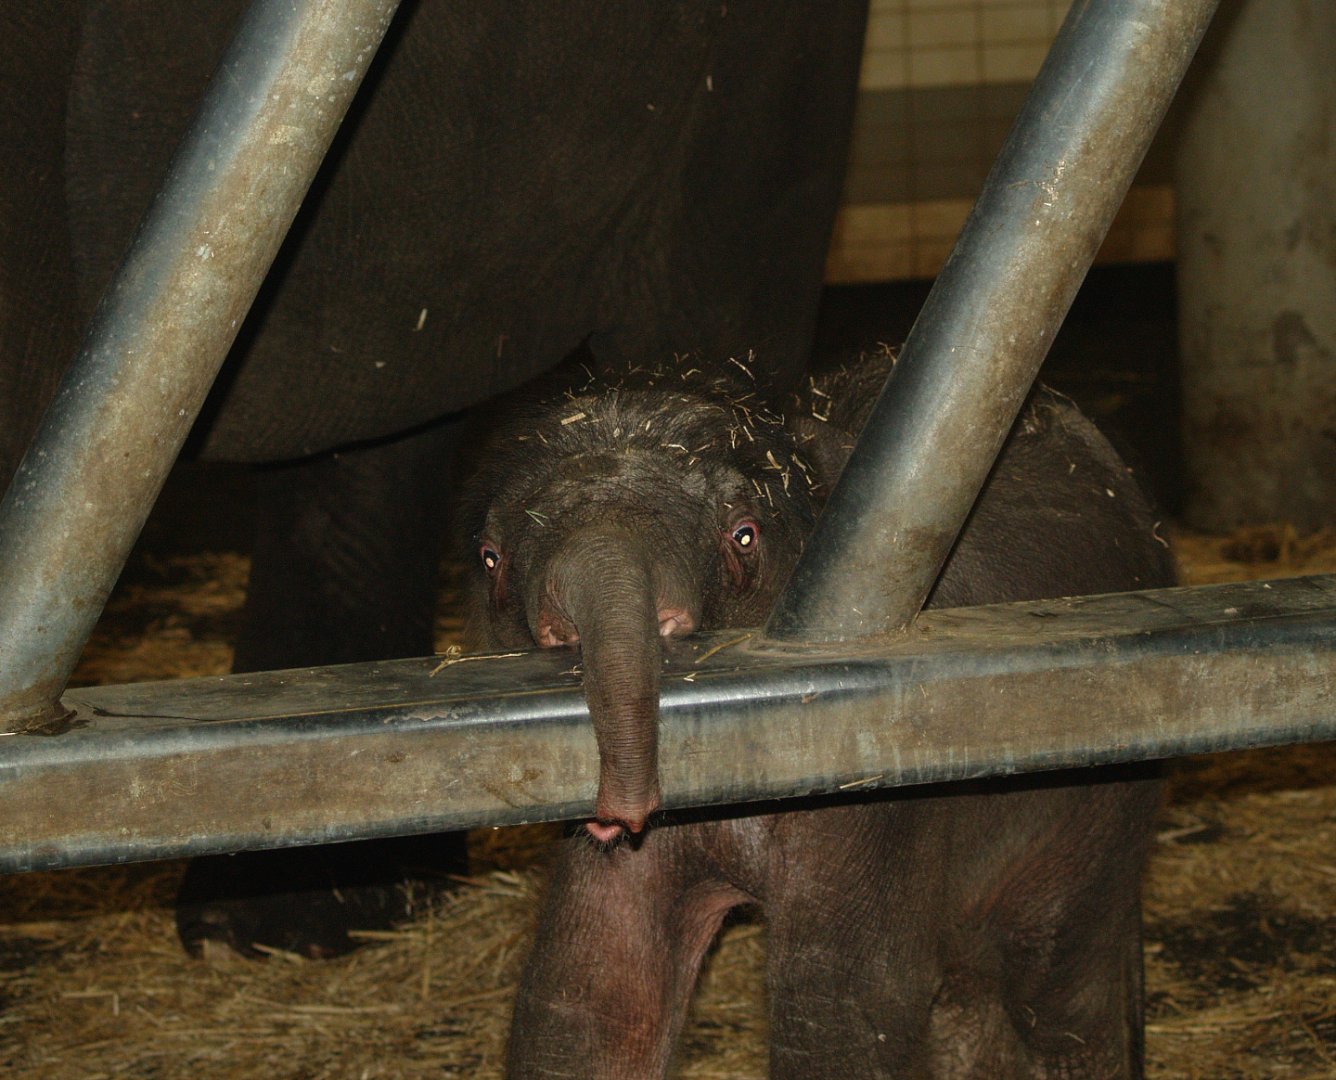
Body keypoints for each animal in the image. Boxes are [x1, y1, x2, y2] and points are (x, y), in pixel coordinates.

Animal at [459, 353, 1176, 1078]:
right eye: (490, 559)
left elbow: (839, 1002)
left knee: (1055, 984)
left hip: (1102, 799)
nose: (618, 818)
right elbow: (593, 995)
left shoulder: (876, 768)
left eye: (743, 536)